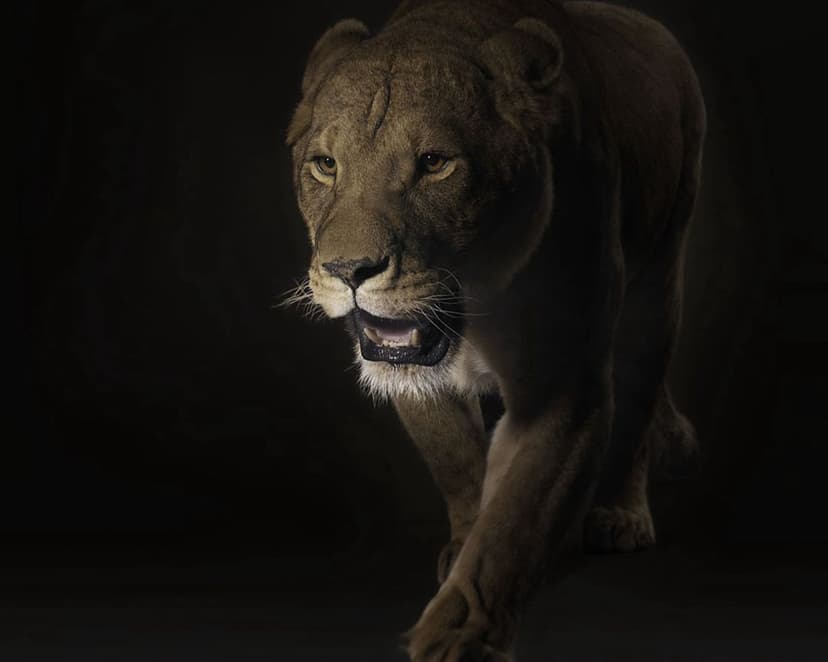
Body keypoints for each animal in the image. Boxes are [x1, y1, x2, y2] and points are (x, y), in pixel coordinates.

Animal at [286, 0, 705, 659]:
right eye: (326, 165)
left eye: (434, 164)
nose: (348, 270)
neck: (475, 306)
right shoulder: (418, 381)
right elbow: (459, 464)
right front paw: (461, 545)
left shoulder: (563, 387)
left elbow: (515, 521)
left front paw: (458, 635)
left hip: (660, 278)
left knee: (638, 399)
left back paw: (620, 515)